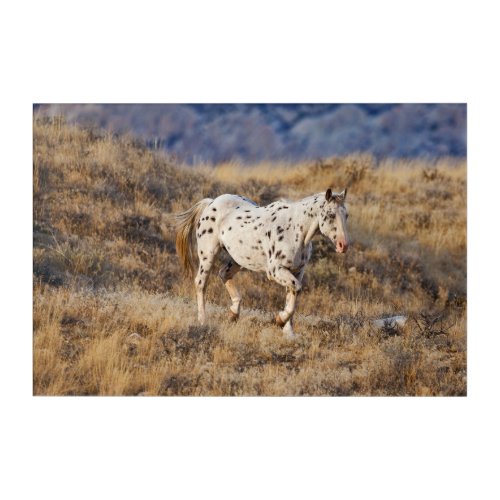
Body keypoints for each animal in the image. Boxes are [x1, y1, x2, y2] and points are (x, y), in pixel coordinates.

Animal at [174, 188, 350, 340]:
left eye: (346, 215)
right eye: (330, 214)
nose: (343, 245)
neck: (295, 229)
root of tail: (211, 203)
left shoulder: (297, 271)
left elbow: (292, 295)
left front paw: (288, 333)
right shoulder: (276, 271)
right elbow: (296, 290)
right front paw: (279, 320)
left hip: (238, 259)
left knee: (224, 273)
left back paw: (233, 313)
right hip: (208, 254)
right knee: (201, 283)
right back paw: (203, 321)